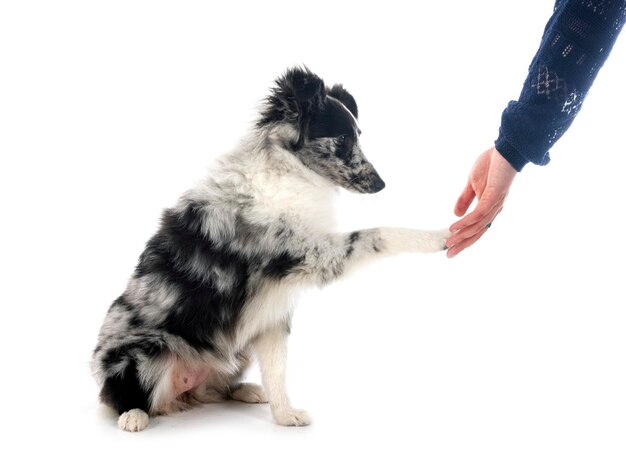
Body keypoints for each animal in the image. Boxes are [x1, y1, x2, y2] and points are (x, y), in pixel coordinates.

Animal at [90, 67, 446, 434]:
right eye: (343, 139)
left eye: (358, 135)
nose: (380, 184)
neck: (289, 169)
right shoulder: (314, 254)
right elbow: (381, 233)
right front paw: (440, 236)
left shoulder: (273, 310)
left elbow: (277, 371)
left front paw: (285, 415)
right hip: (146, 352)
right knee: (121, 396)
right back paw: (133, 414)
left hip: (234, 349)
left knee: (214, 388)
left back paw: (245, 390)